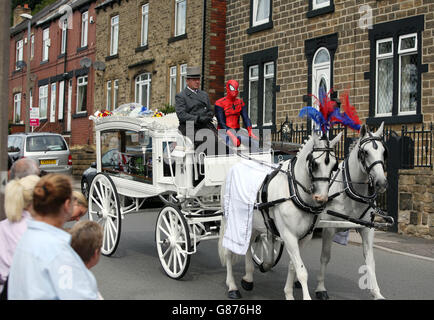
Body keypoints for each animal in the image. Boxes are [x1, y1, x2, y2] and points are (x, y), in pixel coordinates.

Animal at [219, 131, 344, 300]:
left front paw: (288, 293)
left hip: (253, 223)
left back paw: (248, 278)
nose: (321, 198)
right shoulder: (288, 235)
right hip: (229, 220)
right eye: (314, 164)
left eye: (334, 165)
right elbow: (302, 271)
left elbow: (293, 266)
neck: (294, 191)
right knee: (227, 251)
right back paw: (232, 286)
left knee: (248, 244)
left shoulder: (304, 238)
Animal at [314, 122, 388, 300]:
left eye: (384, 152)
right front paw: (320, 288)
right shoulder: (329, 228)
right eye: (365, 152)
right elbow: (325, 257)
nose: (381, 183)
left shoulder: (367, 229)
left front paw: (376, 292)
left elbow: (370, 260)